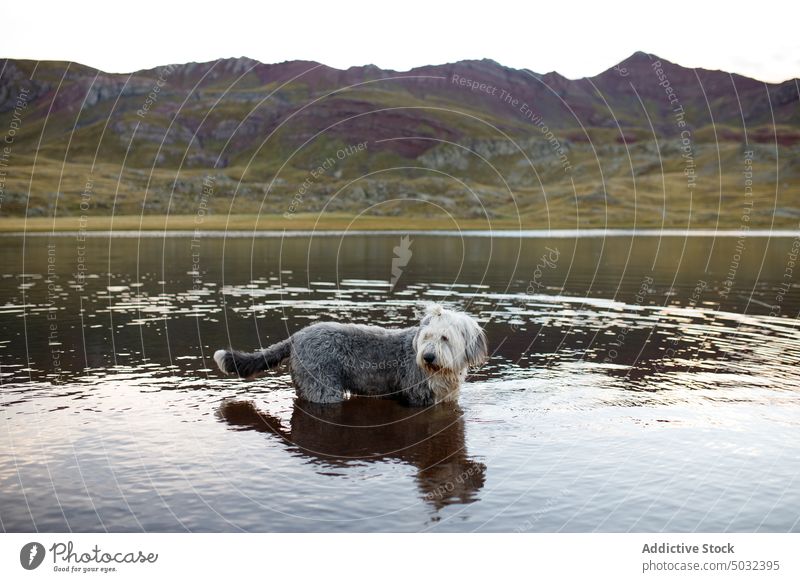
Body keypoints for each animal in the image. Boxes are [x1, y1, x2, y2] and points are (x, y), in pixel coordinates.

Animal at [214, 306, 488, 406]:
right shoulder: (418, 396)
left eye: (445, 338)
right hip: (324, 388)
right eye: (427, 337)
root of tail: (296, 337)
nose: (428, 357)